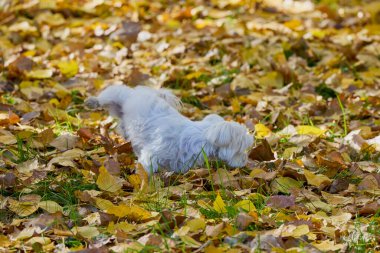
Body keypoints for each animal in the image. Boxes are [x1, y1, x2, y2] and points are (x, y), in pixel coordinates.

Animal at [85, 85, 252, 174]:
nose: (245, 160)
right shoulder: (152, 154)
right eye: (241, 149)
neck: (198, 137)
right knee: (105, 97)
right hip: (117, 95)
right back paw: (92, 101)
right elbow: (147, 168)